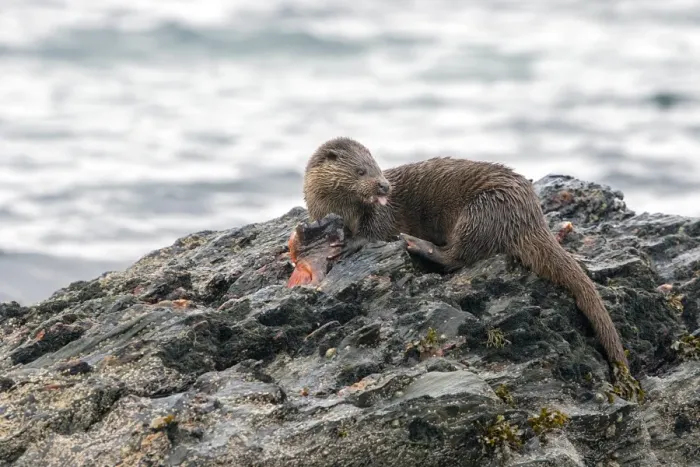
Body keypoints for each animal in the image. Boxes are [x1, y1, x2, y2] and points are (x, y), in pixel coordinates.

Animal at [303, 136, 640, 398]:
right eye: (361, 170)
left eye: (376, 167)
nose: (384, 186)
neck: (344, 211)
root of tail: (531, 214)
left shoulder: (383, 217)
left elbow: (376, 233)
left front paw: (349, 243)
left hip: (481, 211)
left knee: (459, 255)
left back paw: (418, 245)